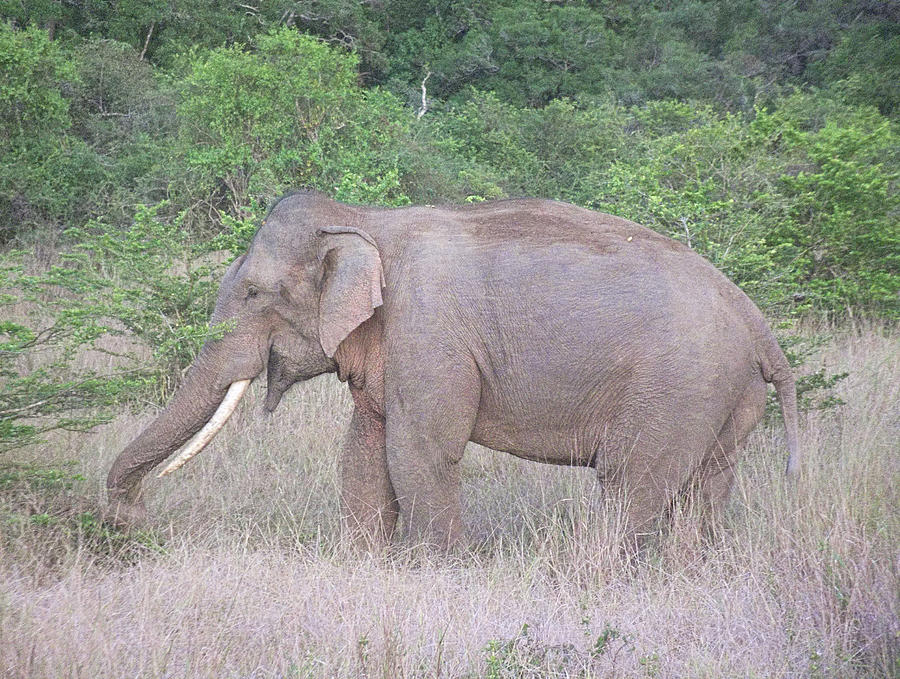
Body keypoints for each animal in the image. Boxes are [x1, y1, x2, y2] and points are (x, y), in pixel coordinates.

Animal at [107, 191, 800, 552]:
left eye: (253, 295)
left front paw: (438, 570)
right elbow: (364, 451)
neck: (363, 219)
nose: (129, 520)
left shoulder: (429, 332)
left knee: (630, 481)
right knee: (705, 486)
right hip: (728, 393)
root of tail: (756, 318)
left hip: (681, 383)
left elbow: (419, 451)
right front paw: (366, 565)